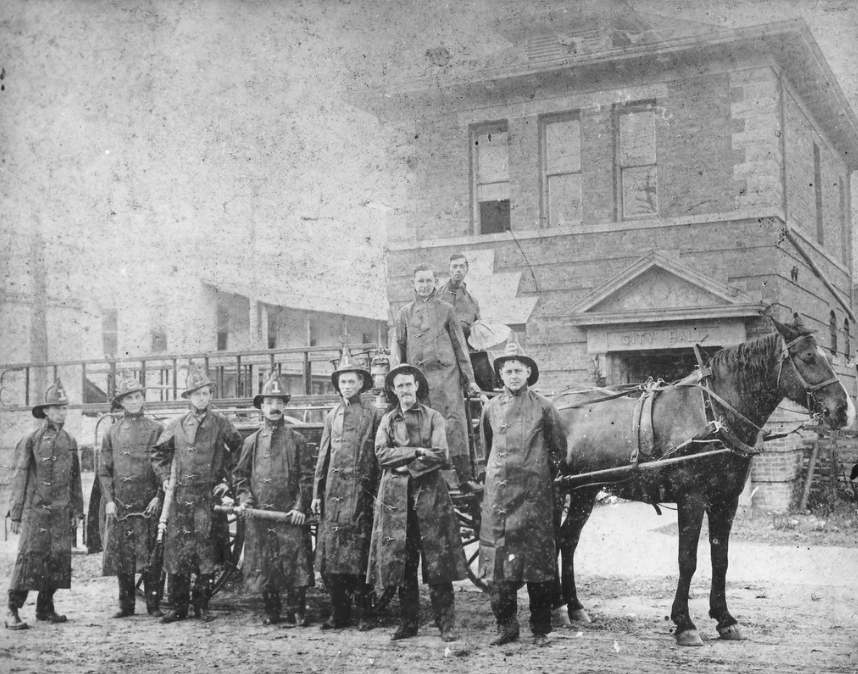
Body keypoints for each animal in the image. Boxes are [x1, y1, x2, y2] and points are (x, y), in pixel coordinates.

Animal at [552, 318, 852, 644]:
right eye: (808, 357)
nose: (844, 410)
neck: (713, 413)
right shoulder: (691, 499)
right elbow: (688, 559)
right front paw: (684, 623)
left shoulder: (727, 501)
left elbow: (720, 558)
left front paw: (725, 619)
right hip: (556, 490)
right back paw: (556, 608)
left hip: (584, 491)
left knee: (567, 540)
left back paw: (574, 607)